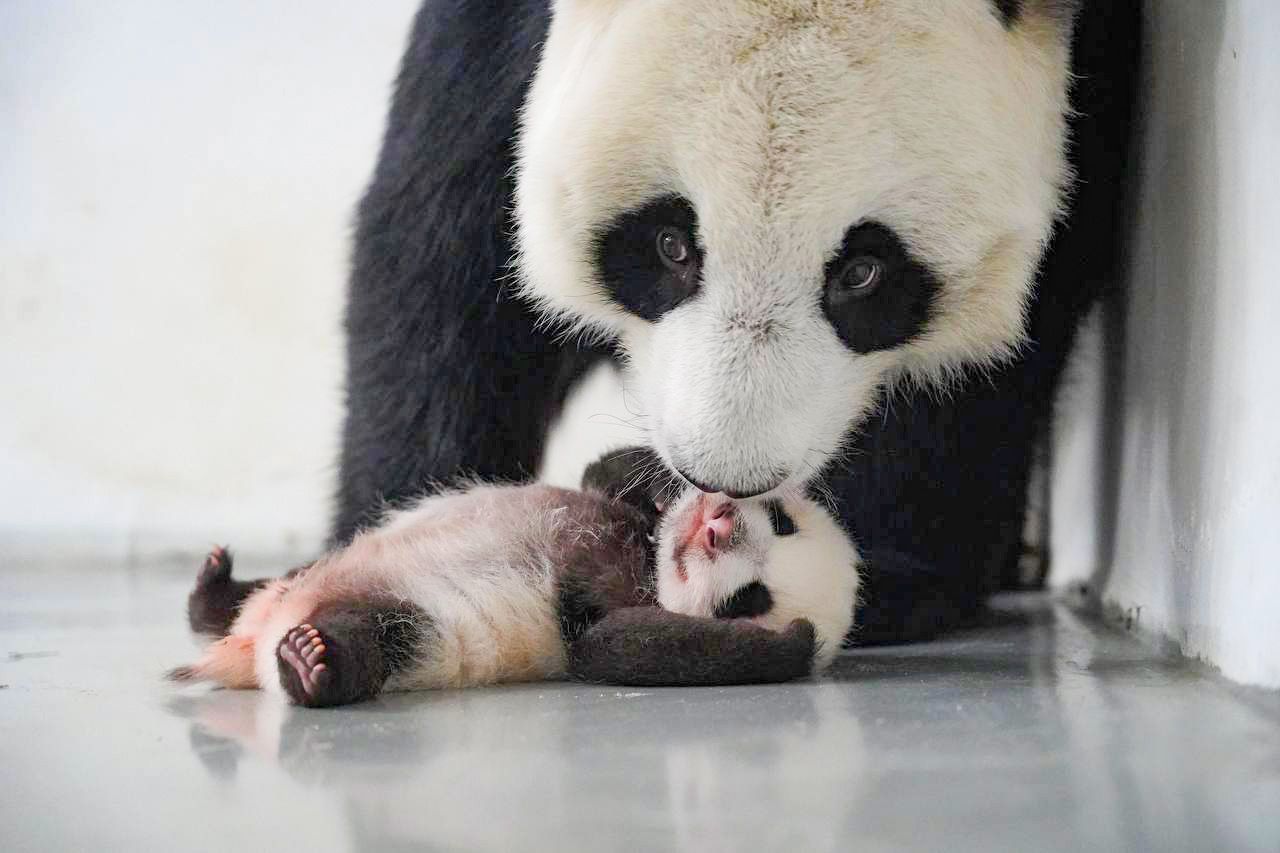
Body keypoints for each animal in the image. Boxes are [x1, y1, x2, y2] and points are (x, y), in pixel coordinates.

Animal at [337, 0, 1141, 637]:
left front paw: (890, 572)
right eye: (670, 244)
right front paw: (418, 526)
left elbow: (997, 351)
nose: (723, 476)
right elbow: (445, 256)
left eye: (862, 272)